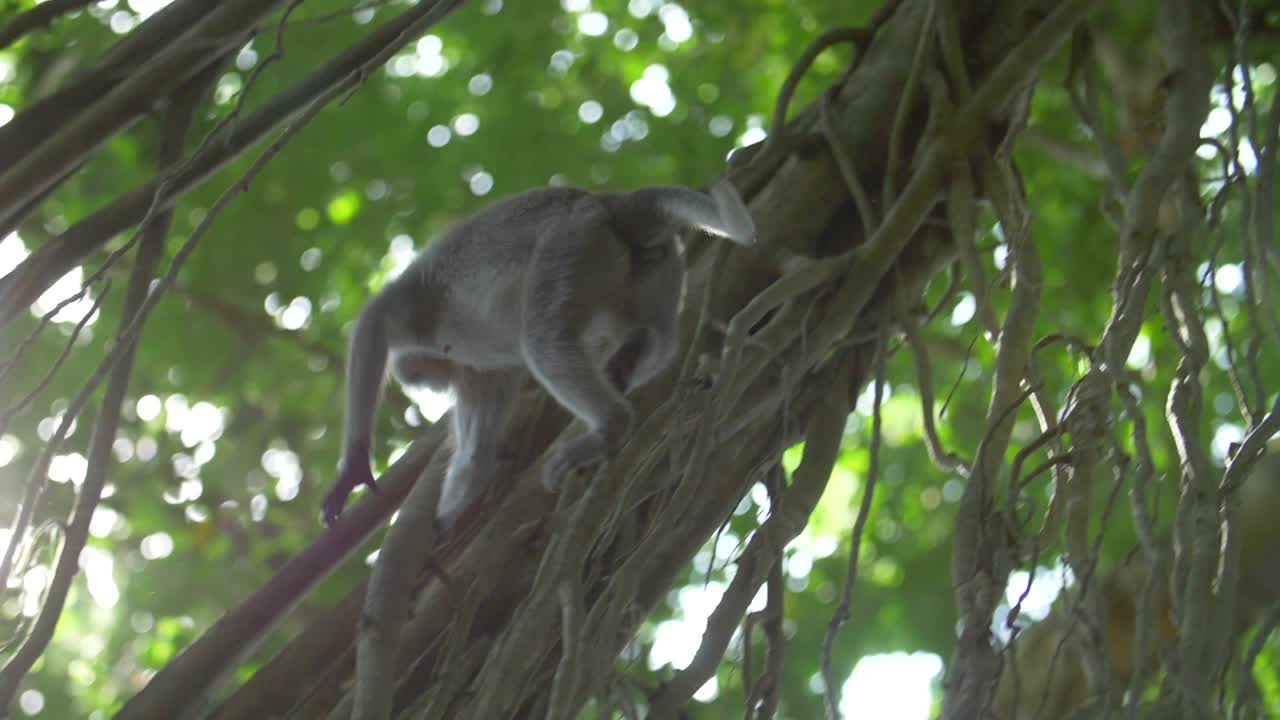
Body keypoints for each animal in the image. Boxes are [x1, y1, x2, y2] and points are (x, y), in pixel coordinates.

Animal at [321, 179, 756, 528]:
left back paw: (610, 424)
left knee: (544, 339)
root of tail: (612, 202)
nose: (424, 380)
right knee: (657, 342)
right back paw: (629, 364)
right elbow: (475, 458)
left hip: (570, 242)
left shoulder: (429, 307)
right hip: (659, 273)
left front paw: (353, 469)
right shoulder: (482, 373)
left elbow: (377, 318)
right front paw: (449, 518)